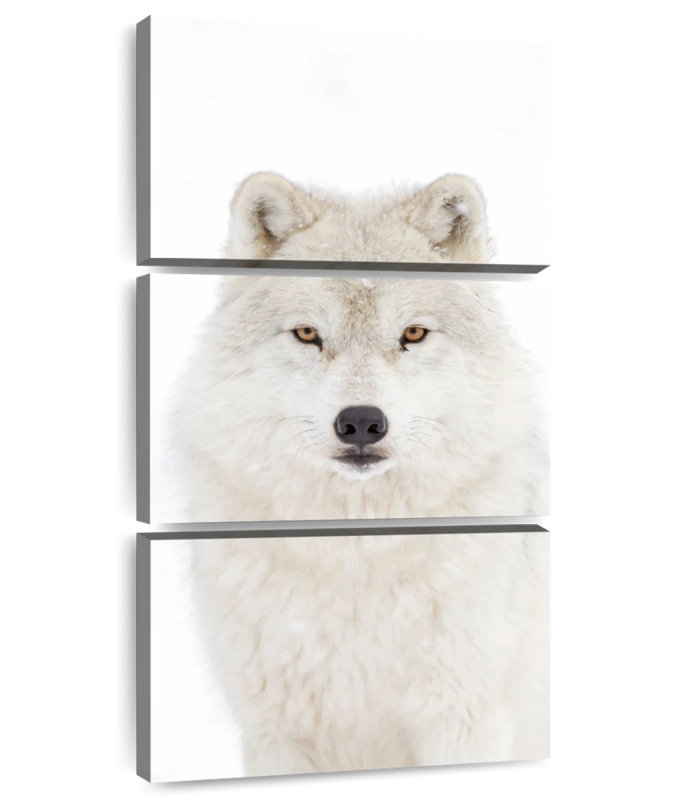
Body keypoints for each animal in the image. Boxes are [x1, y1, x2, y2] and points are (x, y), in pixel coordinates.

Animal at [178, 173, 549, 776]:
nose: (360, 423)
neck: (354, 552)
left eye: (414, 333)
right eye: (307, 333)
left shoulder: (463, 721)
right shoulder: (277, 734)